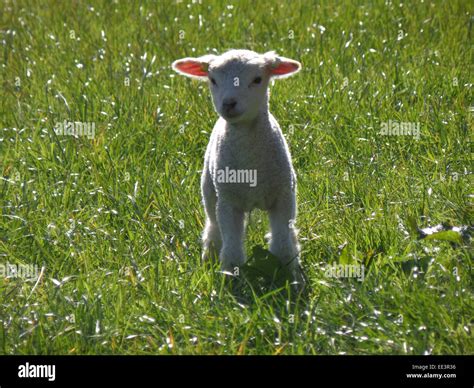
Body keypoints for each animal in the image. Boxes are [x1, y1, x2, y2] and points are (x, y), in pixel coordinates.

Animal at [173, 49, 304, 284]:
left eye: (257, 79)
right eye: (212, 80)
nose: (228, 104)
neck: (250, 167)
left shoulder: (283, 197)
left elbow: (282, 244)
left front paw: (289, 277)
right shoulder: (228, 202)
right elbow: (232, 247)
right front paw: (231, 279)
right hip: (210, 190)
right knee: (214, 227)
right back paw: (209, 257)